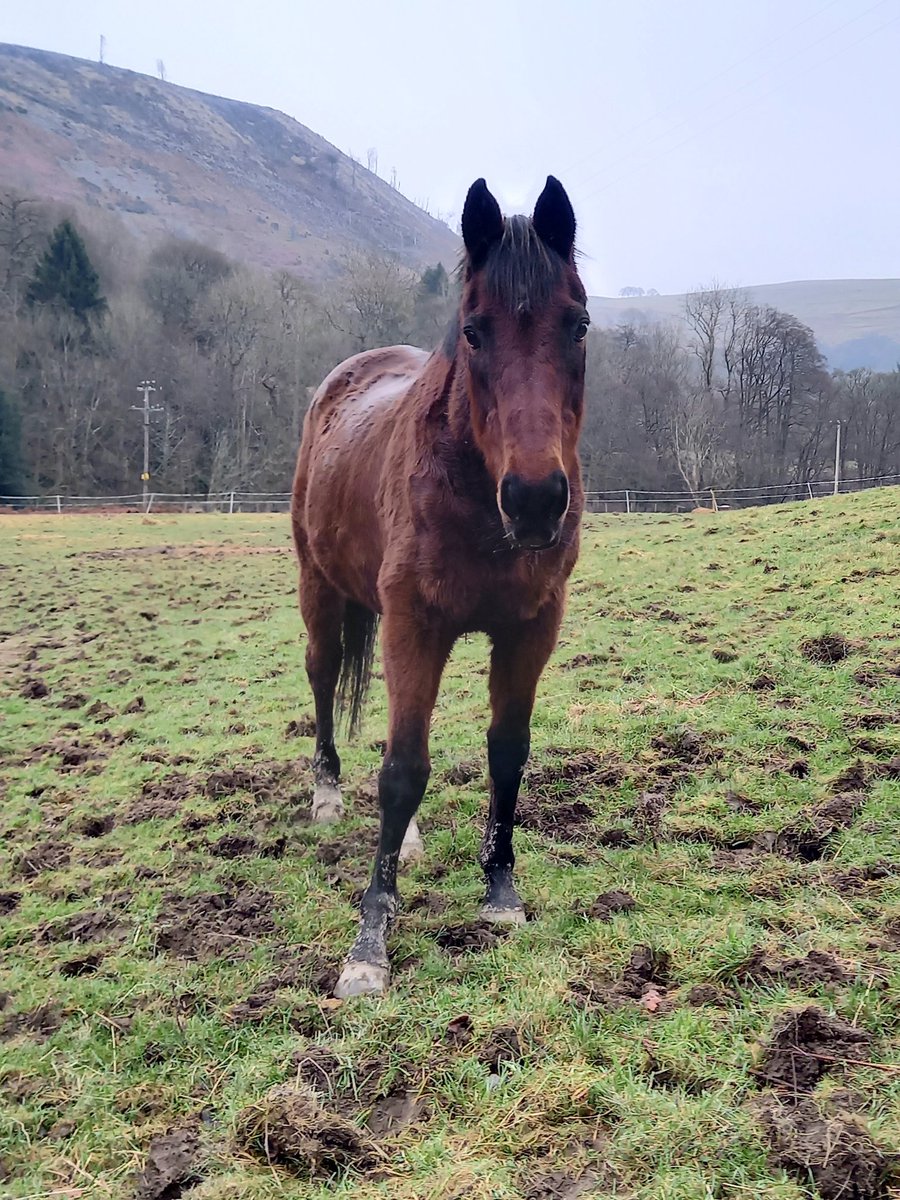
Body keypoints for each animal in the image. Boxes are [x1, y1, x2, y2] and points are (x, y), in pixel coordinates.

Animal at [291, 177, 589, 997]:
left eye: (578, 324)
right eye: (474, 333)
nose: (535, 500)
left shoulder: (530, 627)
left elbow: (506, 752)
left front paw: (502, 893)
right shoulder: (414, 624)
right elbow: (401, 771)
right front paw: (369, 945)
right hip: (320, 590)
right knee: (325, 679)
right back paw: (328, 794)